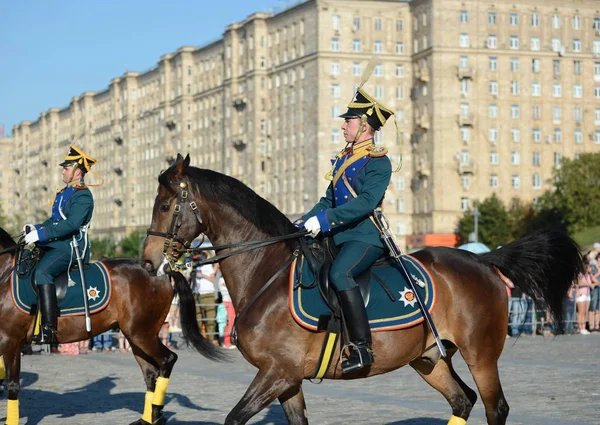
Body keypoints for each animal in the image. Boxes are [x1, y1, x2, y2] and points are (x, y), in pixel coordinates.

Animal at [0, 227, 225, 424]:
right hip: (136, 337)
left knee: (167, 360)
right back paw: (148, 418)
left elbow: (12, 384)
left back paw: (156, 414)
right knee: (151, 374)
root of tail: (161, 271)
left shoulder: (11, 341)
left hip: (142, 335)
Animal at [143, 155, 584, 424]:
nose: (147, 263)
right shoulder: (287, 379)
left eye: (165, 205)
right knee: (462, 400)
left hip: (482, 355)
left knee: (496, 408)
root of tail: (483, 259)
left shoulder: (277, 373)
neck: (266, 271)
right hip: (429, 358)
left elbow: (234, 417)